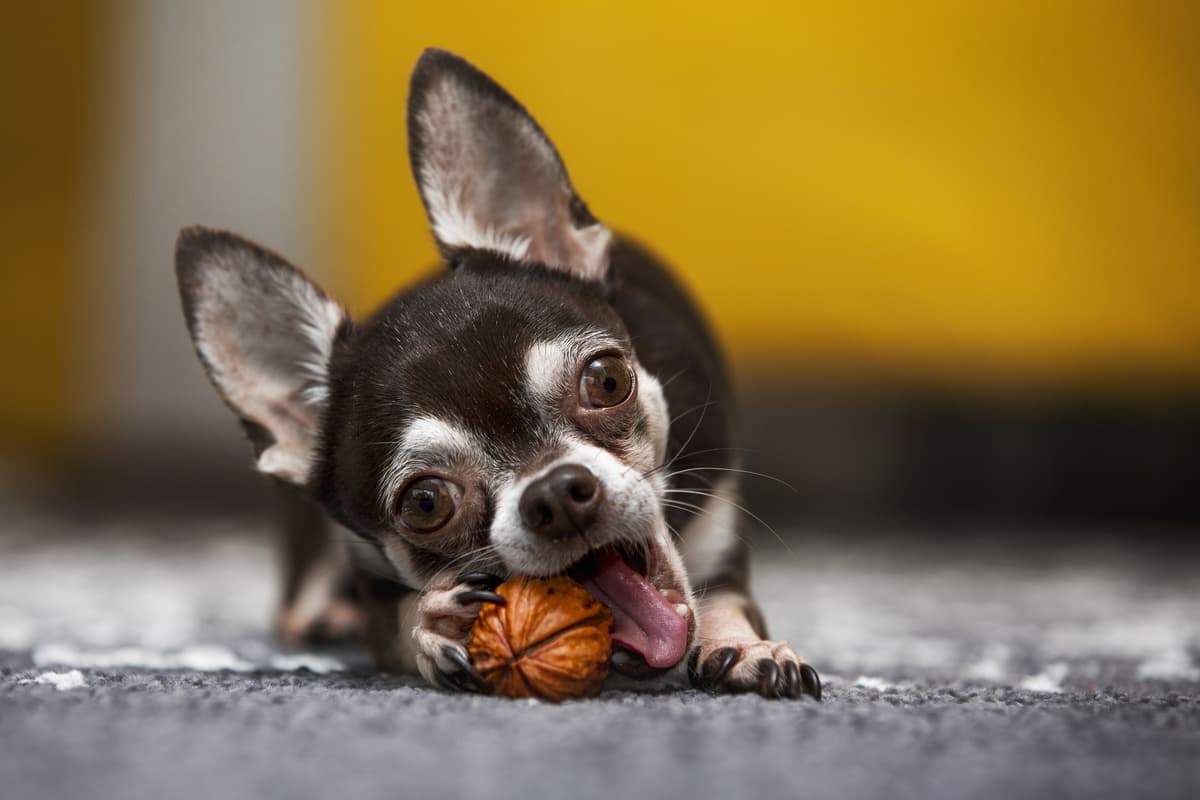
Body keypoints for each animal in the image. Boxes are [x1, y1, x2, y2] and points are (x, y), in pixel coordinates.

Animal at [175, 48, 816, 700]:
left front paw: (743, 644)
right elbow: (394, 614)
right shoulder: (373, 583)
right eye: (426, 503)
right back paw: (328, 616)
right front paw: (432, 624)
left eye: (607, 381)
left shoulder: (719, 525)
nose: (556, 494)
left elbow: (726, 596)